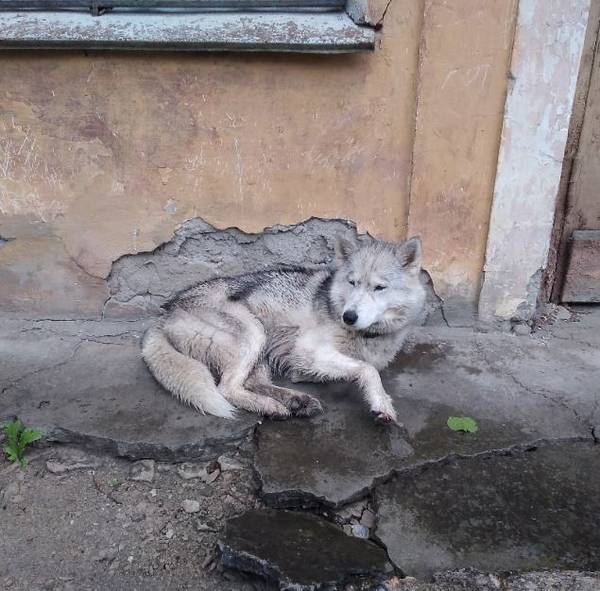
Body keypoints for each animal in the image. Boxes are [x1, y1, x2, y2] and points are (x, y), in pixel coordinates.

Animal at [141, 236, 426, 426]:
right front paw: (382, 404)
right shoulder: (309, 352)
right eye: (352, 282)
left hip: (260, 351)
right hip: (254, 332)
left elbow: (360, 367)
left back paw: (296, 401)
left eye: (380, 287)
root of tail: (165, 313)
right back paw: (271, 406)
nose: (349, 316)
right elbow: (368, 371)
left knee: (253, 383)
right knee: (227, 389)